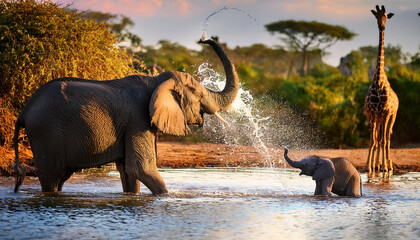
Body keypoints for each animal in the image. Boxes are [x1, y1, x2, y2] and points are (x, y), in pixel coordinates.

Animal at [13, 38, 240, 195]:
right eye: (199, 95)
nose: (203, 39)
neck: (155, 80)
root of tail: (25, 110)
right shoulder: (137, 120)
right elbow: (141, 168)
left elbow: (129, 172)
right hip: (46, 132)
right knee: (51, 176)